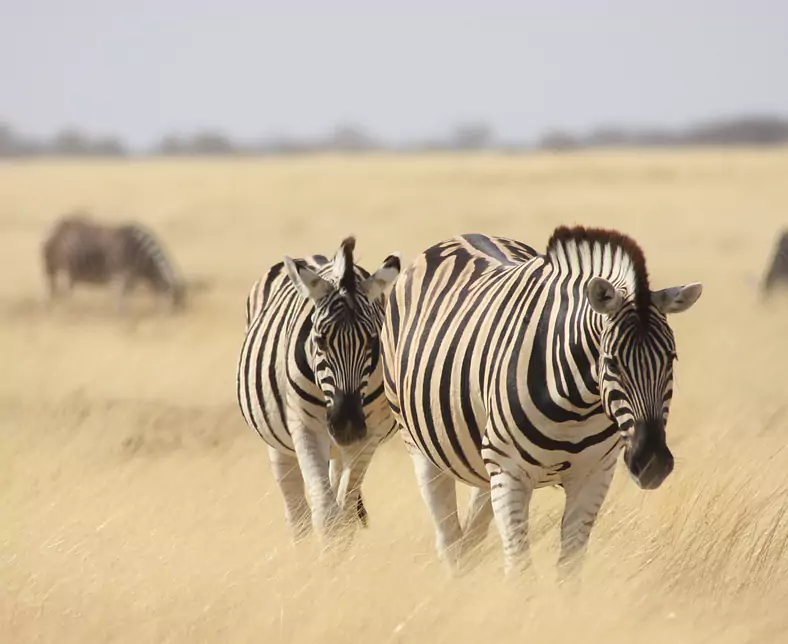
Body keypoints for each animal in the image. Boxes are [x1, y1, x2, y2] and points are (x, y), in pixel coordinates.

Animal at [42, 212, 185, 313]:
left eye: (181, 301)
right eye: (174, 302)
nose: (177, 321)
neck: (137, 252)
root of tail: (57, 229)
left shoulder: (132, 279)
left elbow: (126, 298)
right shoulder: (118, 276)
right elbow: (119, 298)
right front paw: (120, 317)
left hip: (68, 272)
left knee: (62, 291)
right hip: (54, 269)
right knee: (54, 289)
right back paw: (59, 308)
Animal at [236, 236, 401, 545]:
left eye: (373, 341)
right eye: (321, 340)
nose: (347, 425)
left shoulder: (369, 434)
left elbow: (344, 516)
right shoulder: (306, 428)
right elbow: (325, 516)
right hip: (279, 443)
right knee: (297, 515)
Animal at [381, 226, 702, 576]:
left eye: (671, 359)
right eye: (611, 362)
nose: (652, 464)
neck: (578, 405)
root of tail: (462, 236)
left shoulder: (594, 474)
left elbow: (569, 569)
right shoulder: (509, 472)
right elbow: (520, 572)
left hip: (481, 458)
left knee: (470, 537)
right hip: (422, 448)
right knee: (449, 540)